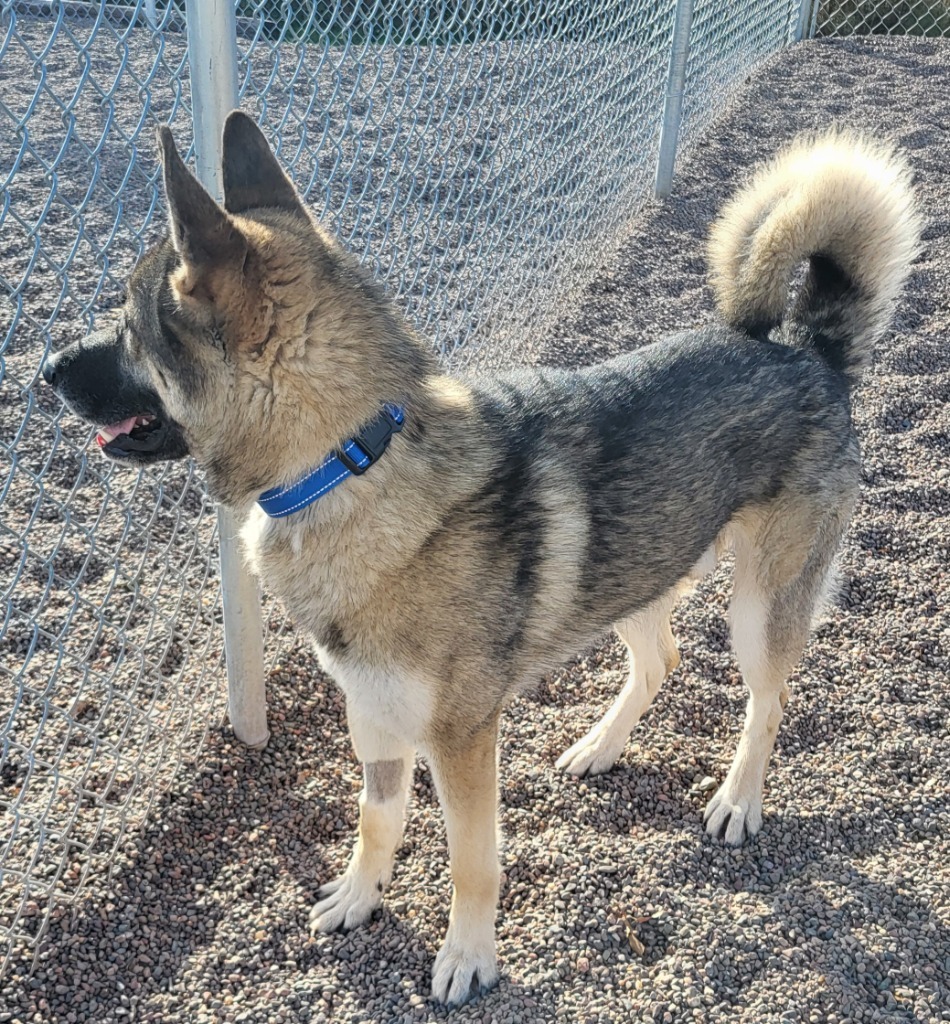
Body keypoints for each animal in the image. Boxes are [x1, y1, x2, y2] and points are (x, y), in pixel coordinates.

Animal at [42, 116, 921, 1003]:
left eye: (128, 325)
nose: (46, 368)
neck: (351, 459)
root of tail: (809, 352)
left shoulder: (461, 737)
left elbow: (471, 860)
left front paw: (467, 955)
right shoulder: (371, 707)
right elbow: (376, 817)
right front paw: (360, 895)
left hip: (758, 609)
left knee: (766, 703)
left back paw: (737, 799)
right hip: (632, 574)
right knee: (662, 659)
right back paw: (599, 747)